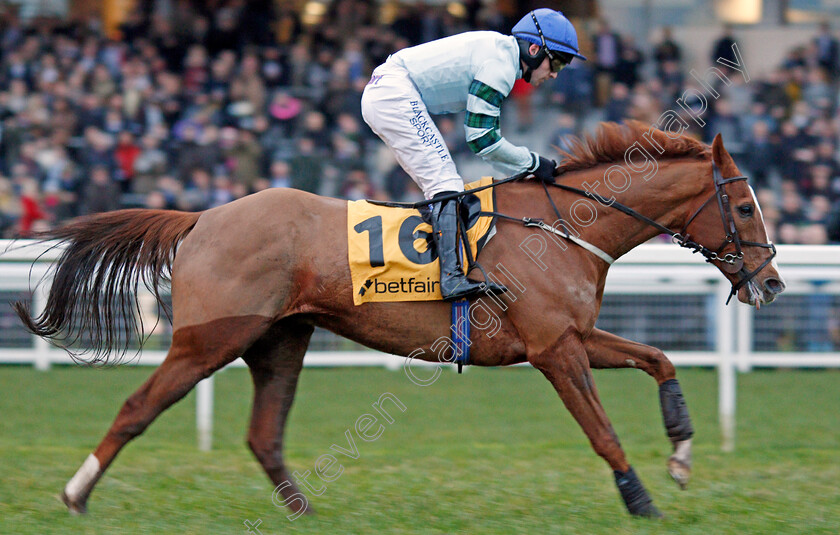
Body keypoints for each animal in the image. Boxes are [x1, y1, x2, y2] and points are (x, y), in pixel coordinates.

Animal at [14, 122, 788, 520]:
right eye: (742, 206)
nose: (773, 281)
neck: (564, 226)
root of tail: (203, 215)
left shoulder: (574, 335)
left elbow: (660, 357)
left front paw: (682, 454)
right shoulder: (553, 349)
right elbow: (601, 431)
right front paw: (641, 499)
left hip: (279, 340)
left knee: (264, 432)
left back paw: (304, 511)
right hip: (212, 337)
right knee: (137, 406)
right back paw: (76, 493)